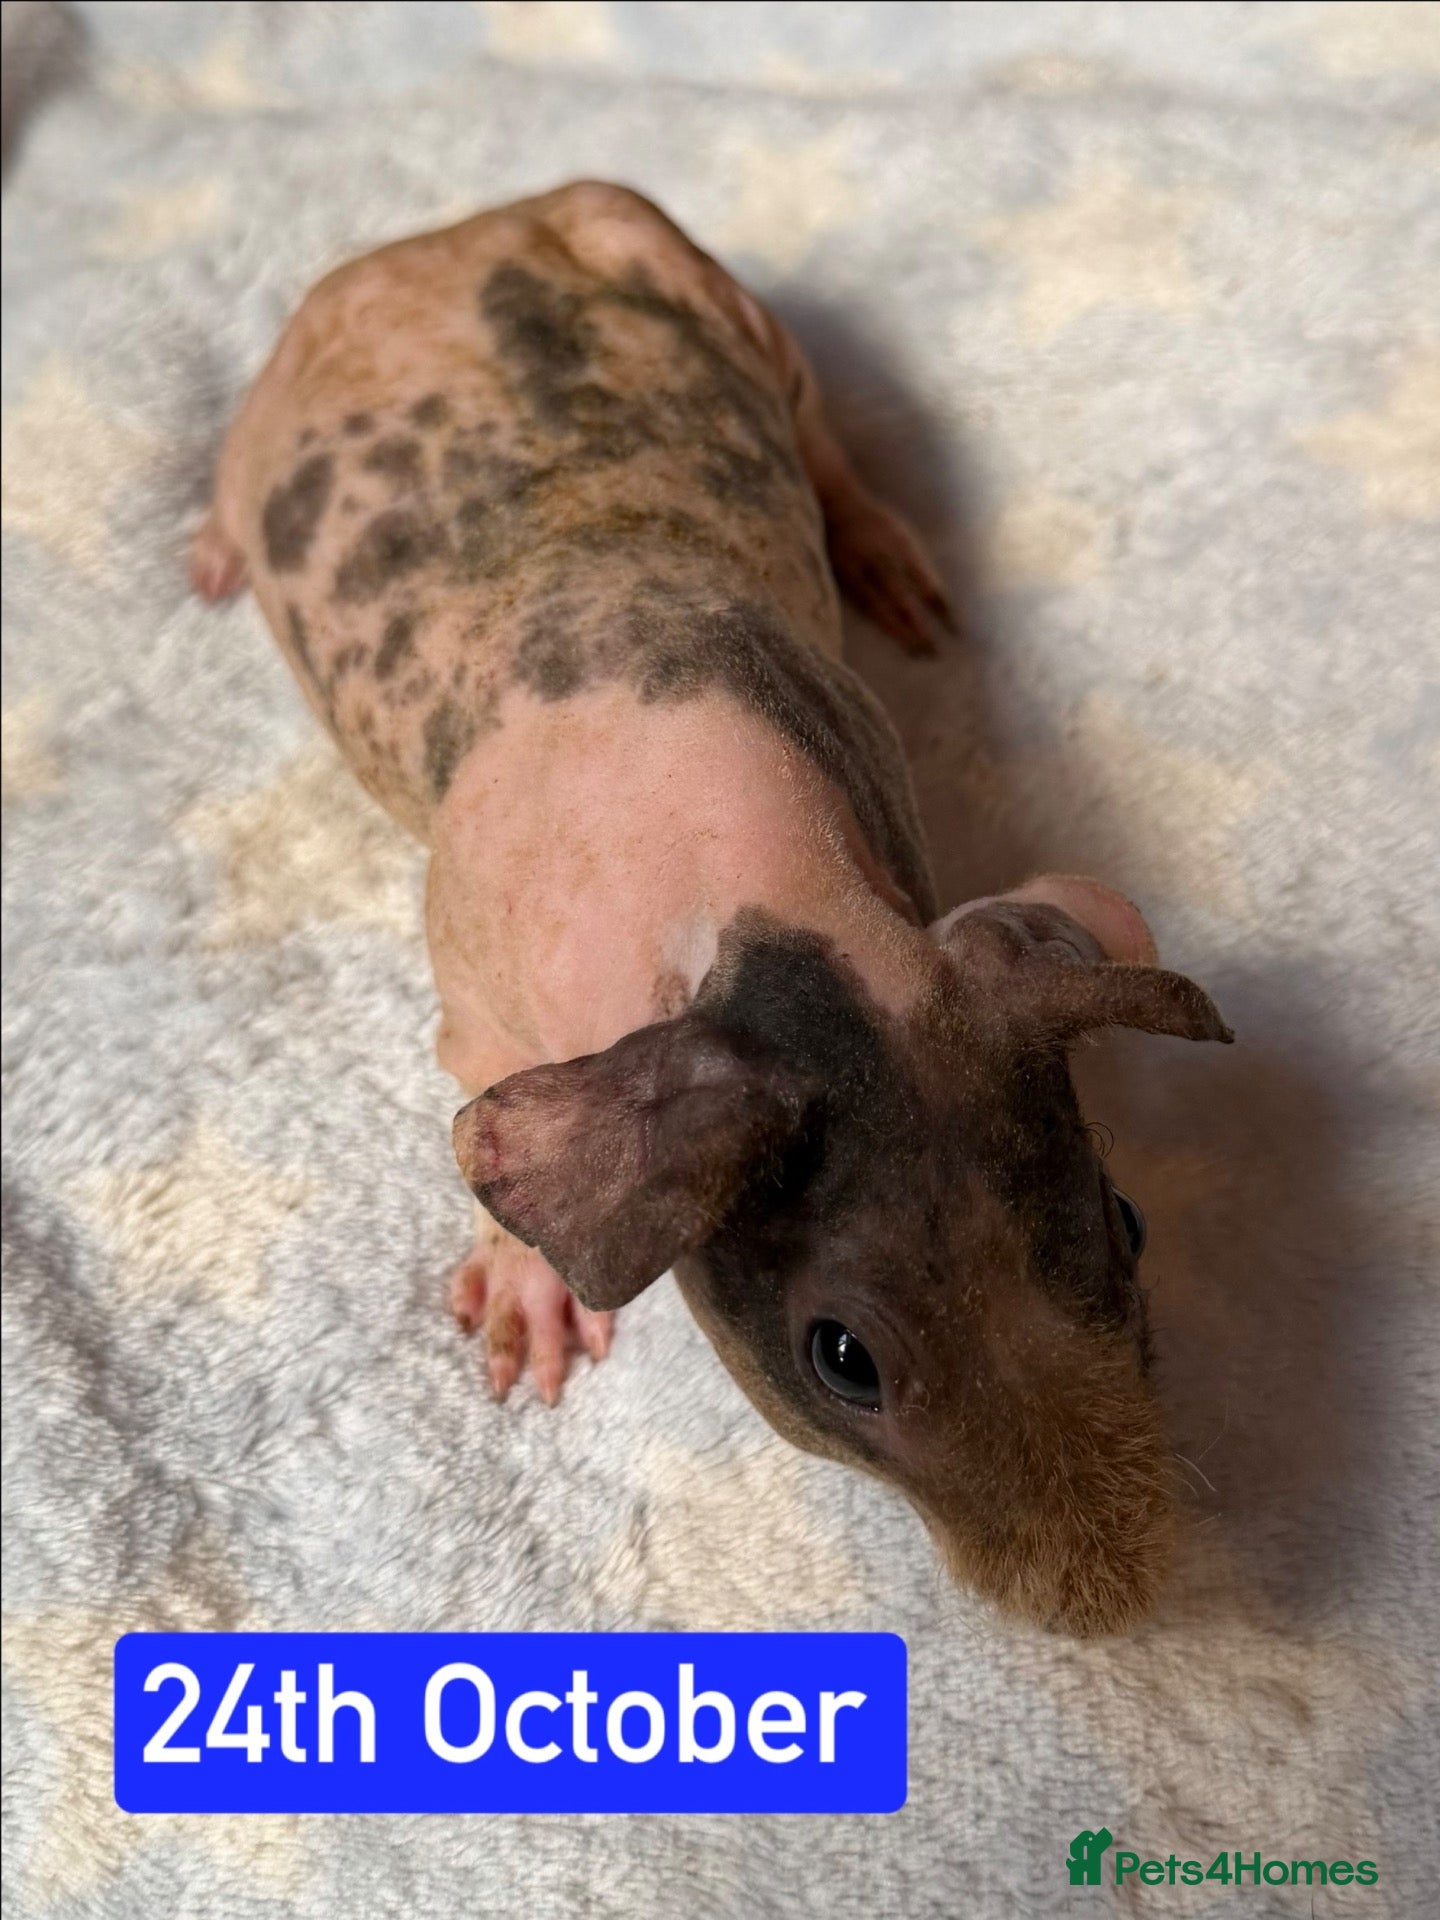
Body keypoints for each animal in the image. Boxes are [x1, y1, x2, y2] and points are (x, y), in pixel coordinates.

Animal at [193, 181, 1231, 1636]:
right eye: (843, 1358)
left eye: (1129, 1225)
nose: (1112, 1606)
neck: (759, 894)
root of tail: (450, 234)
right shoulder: (477, 984)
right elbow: (472, 1103)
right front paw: (524, 1287)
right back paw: (214, 541)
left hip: (684, 262)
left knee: (814, 427)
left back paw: (879, 549)